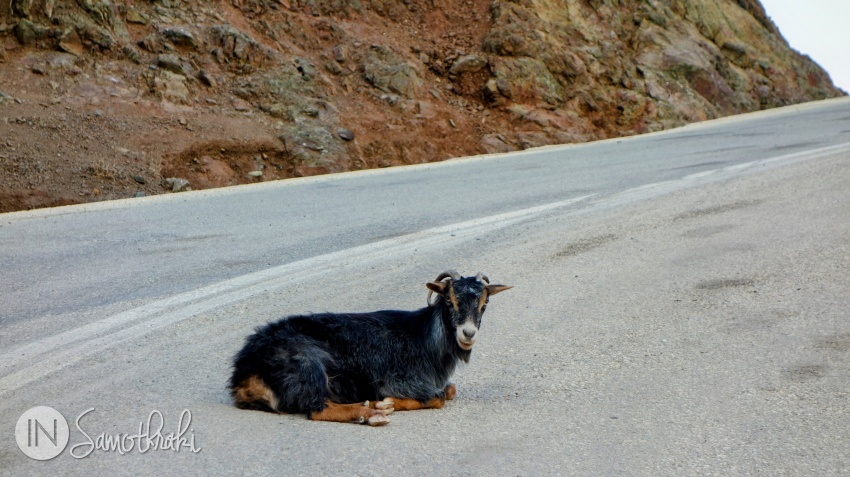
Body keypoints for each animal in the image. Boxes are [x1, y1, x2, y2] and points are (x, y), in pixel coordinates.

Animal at [225, 270, 512, 426]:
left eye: (484, 304)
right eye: (450, 301)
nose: (468, 333)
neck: (424, 337)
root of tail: (243, 371)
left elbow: (450, 389)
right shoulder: (398, 379)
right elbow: (439, 397)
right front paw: (390, 401)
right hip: (307, 361)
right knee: (318, 407)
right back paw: (372, 412)